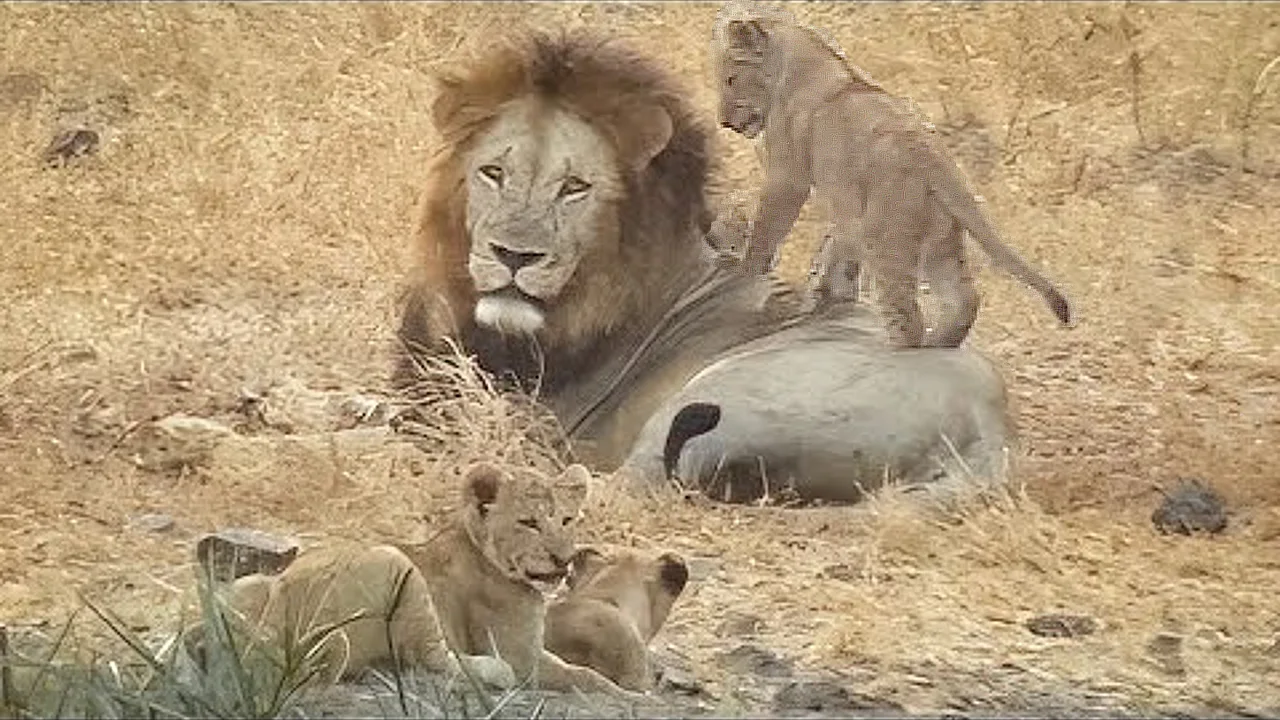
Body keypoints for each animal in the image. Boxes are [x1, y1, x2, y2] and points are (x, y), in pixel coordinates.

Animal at [394, 29, 1013, 504]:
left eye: (574, 188)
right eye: (493, 173)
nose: (514, 255)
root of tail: (994, 425)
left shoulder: (528, 415)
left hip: (721, 395)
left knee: (631, 484)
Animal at [711, 0, 1070, 348]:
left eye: (730, 79)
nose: (724, 122)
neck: (797, 62)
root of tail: (934, 159)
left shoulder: (788, 176)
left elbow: (767, 231)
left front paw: (747, 274)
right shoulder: (847, 203)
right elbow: (838, 247)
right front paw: (827, 295)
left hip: (887, 240)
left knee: (909, 316)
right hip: (941, 241)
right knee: (964, 300)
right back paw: (939, 343)